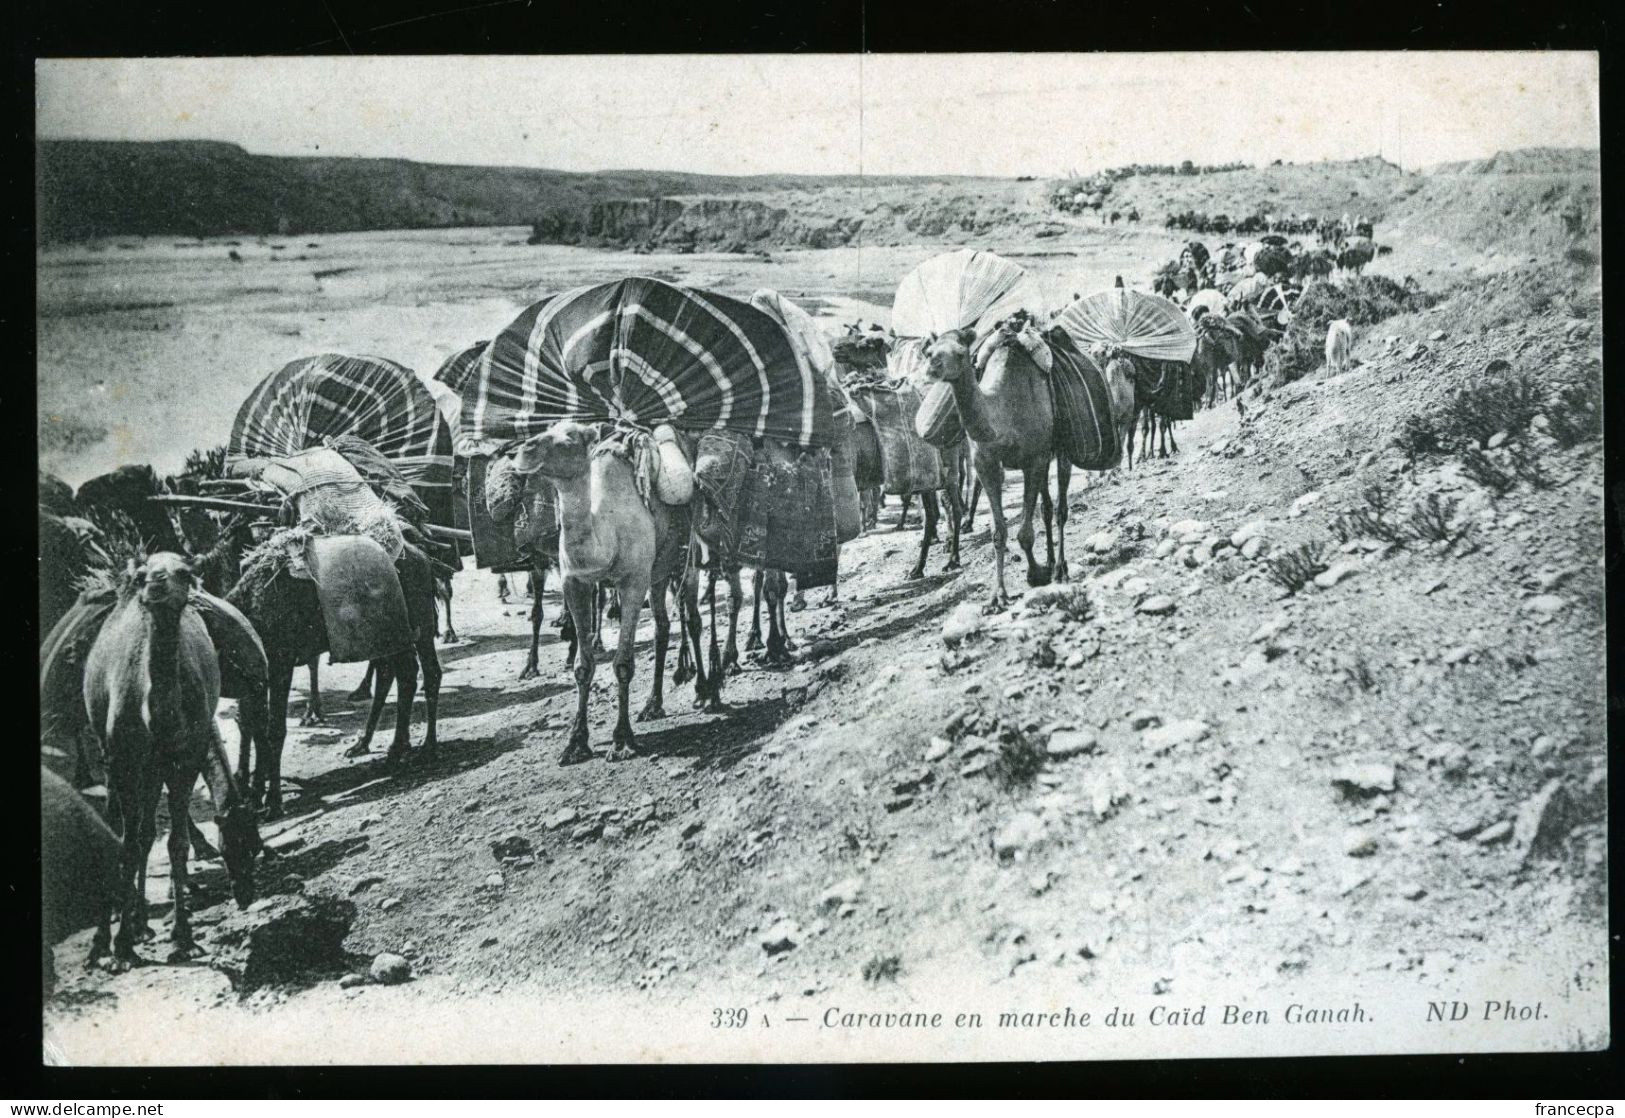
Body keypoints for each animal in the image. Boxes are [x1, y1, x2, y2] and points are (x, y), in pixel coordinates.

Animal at [80, 555, 260, 962]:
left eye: (185, 571)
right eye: (144, 574)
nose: (157, 583)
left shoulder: (183, 758)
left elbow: (174, 842)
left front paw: (181, 936)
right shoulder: (125, 761)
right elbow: (127, 843)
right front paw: (119, 946)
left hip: (153, 770)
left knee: (147, 832)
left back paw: (141, 922)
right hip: (111, 755)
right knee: (121, 827)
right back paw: (110, 935)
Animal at [510, 422, 682, 763]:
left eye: (570, 438)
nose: (524, 449)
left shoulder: (633, 581)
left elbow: (623, 663)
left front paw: (622, 740)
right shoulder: (575, 583)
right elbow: (582, 666)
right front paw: (575, 742)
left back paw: (707, 688)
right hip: (658, 572)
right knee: (663, 626)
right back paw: (653, 705)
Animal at [929, 318, 1066, 607]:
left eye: (961, 352)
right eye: (930, 351)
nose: (933, 367)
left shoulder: (1034, 460)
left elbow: (1024, 532)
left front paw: (1035, 574)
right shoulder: (987, 464)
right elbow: (998, 532)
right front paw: (998, 595)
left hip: (1061, 450)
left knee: (1061, 508)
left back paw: (1060, 568)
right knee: (1047, 507)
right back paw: (1050, 561)